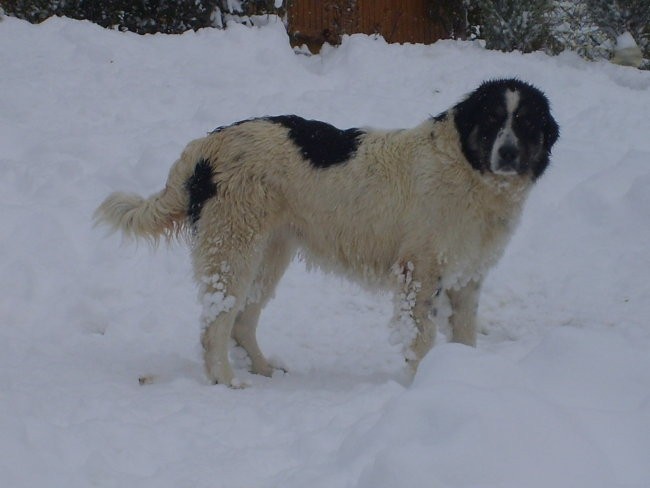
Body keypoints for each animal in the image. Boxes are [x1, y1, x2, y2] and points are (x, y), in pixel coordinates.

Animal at [95, 78, 556, 386]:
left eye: (526, 123)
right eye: (492, 120)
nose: (508, 153)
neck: (466, 167)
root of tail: (204, 147)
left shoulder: (467, 278)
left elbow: (464, 336)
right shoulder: (420, 274)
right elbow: (421, 339)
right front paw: (419, 387)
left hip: (270, 252)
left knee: (242, 320)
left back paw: (263, 369)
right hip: (233, 247)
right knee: (215, 323)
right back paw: (226, 380)